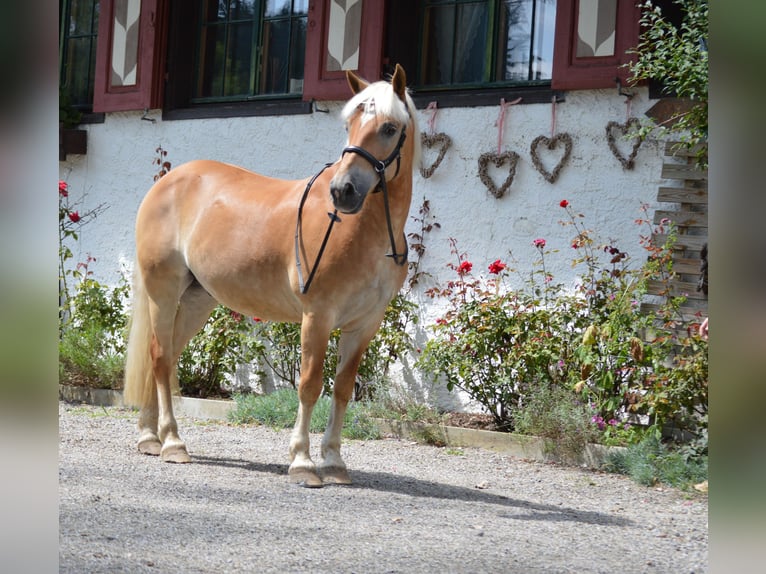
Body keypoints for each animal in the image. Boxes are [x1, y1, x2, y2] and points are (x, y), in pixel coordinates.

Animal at [123, 64, 420, 487]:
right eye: (350, 124)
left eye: (390, 128)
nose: (343, 191)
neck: (364, 231)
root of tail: (166, 182)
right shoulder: (317, 317)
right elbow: (310, 386)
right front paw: (303, 463)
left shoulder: (364, 325)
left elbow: (343, 389)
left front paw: (334, 462)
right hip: (163, 292)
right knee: (162, 358)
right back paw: (173, 443)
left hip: (198, 299)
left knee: (164, 355)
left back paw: (150, 436)